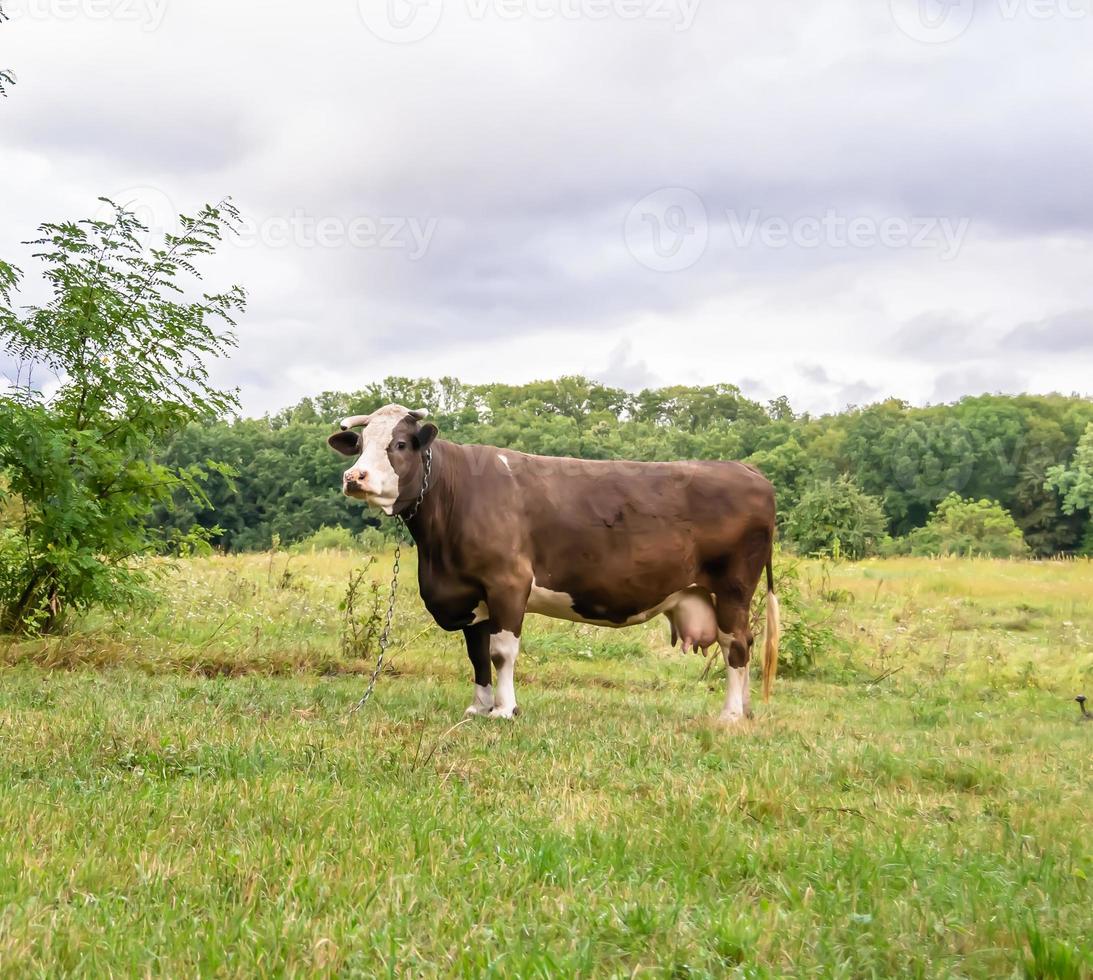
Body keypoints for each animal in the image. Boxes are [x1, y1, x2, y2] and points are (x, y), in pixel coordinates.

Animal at [327, 402, 782, 721]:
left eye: (400, 444)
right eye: (361, 445)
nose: (354, 478)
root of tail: (749, 470)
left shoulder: (508, 582)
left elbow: (501, 651)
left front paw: (504, 710)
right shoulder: (471, 593)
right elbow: (476, 653)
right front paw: (478, 707)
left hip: (734, 587)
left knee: (736, 645)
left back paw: (730, 715)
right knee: (742, 643)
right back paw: (745, 711)